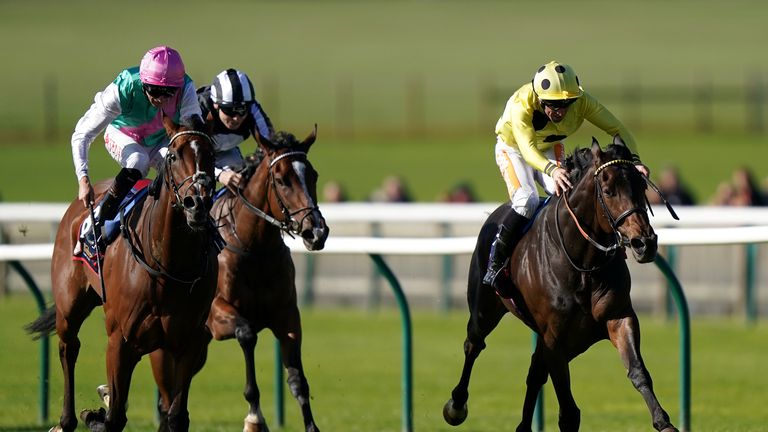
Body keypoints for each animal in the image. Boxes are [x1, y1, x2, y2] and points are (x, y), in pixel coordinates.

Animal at [26, 115, 219, 432]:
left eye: (212, 156)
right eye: (174, 155)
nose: (197, 204)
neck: (168, 265)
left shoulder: (187, 343)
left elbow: (176, 416)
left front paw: (99, 409)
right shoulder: (120, 342)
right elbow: (115, 417)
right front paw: (95, 414)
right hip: (70, 306)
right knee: (69, 348)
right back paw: (66, 420)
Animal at [164, 126, 328, 430]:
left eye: (313, 175)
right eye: (281, 180)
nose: (317, 232)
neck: (255, 248)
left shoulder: (287, 315)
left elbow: (298, 380)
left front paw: (311, 425)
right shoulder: (217, 315)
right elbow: (247, 334)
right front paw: (254, 418)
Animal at [444, 138, 680, 432]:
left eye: (642, 186)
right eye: (608, 190)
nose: (644, 243)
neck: (583, 264)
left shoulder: (617, 317)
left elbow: (638, 371)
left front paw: (663, 421)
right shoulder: (555, 339)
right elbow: (568, 412)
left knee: (534, 373)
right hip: (484, 310)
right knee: (473, 345)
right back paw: (456, 406)